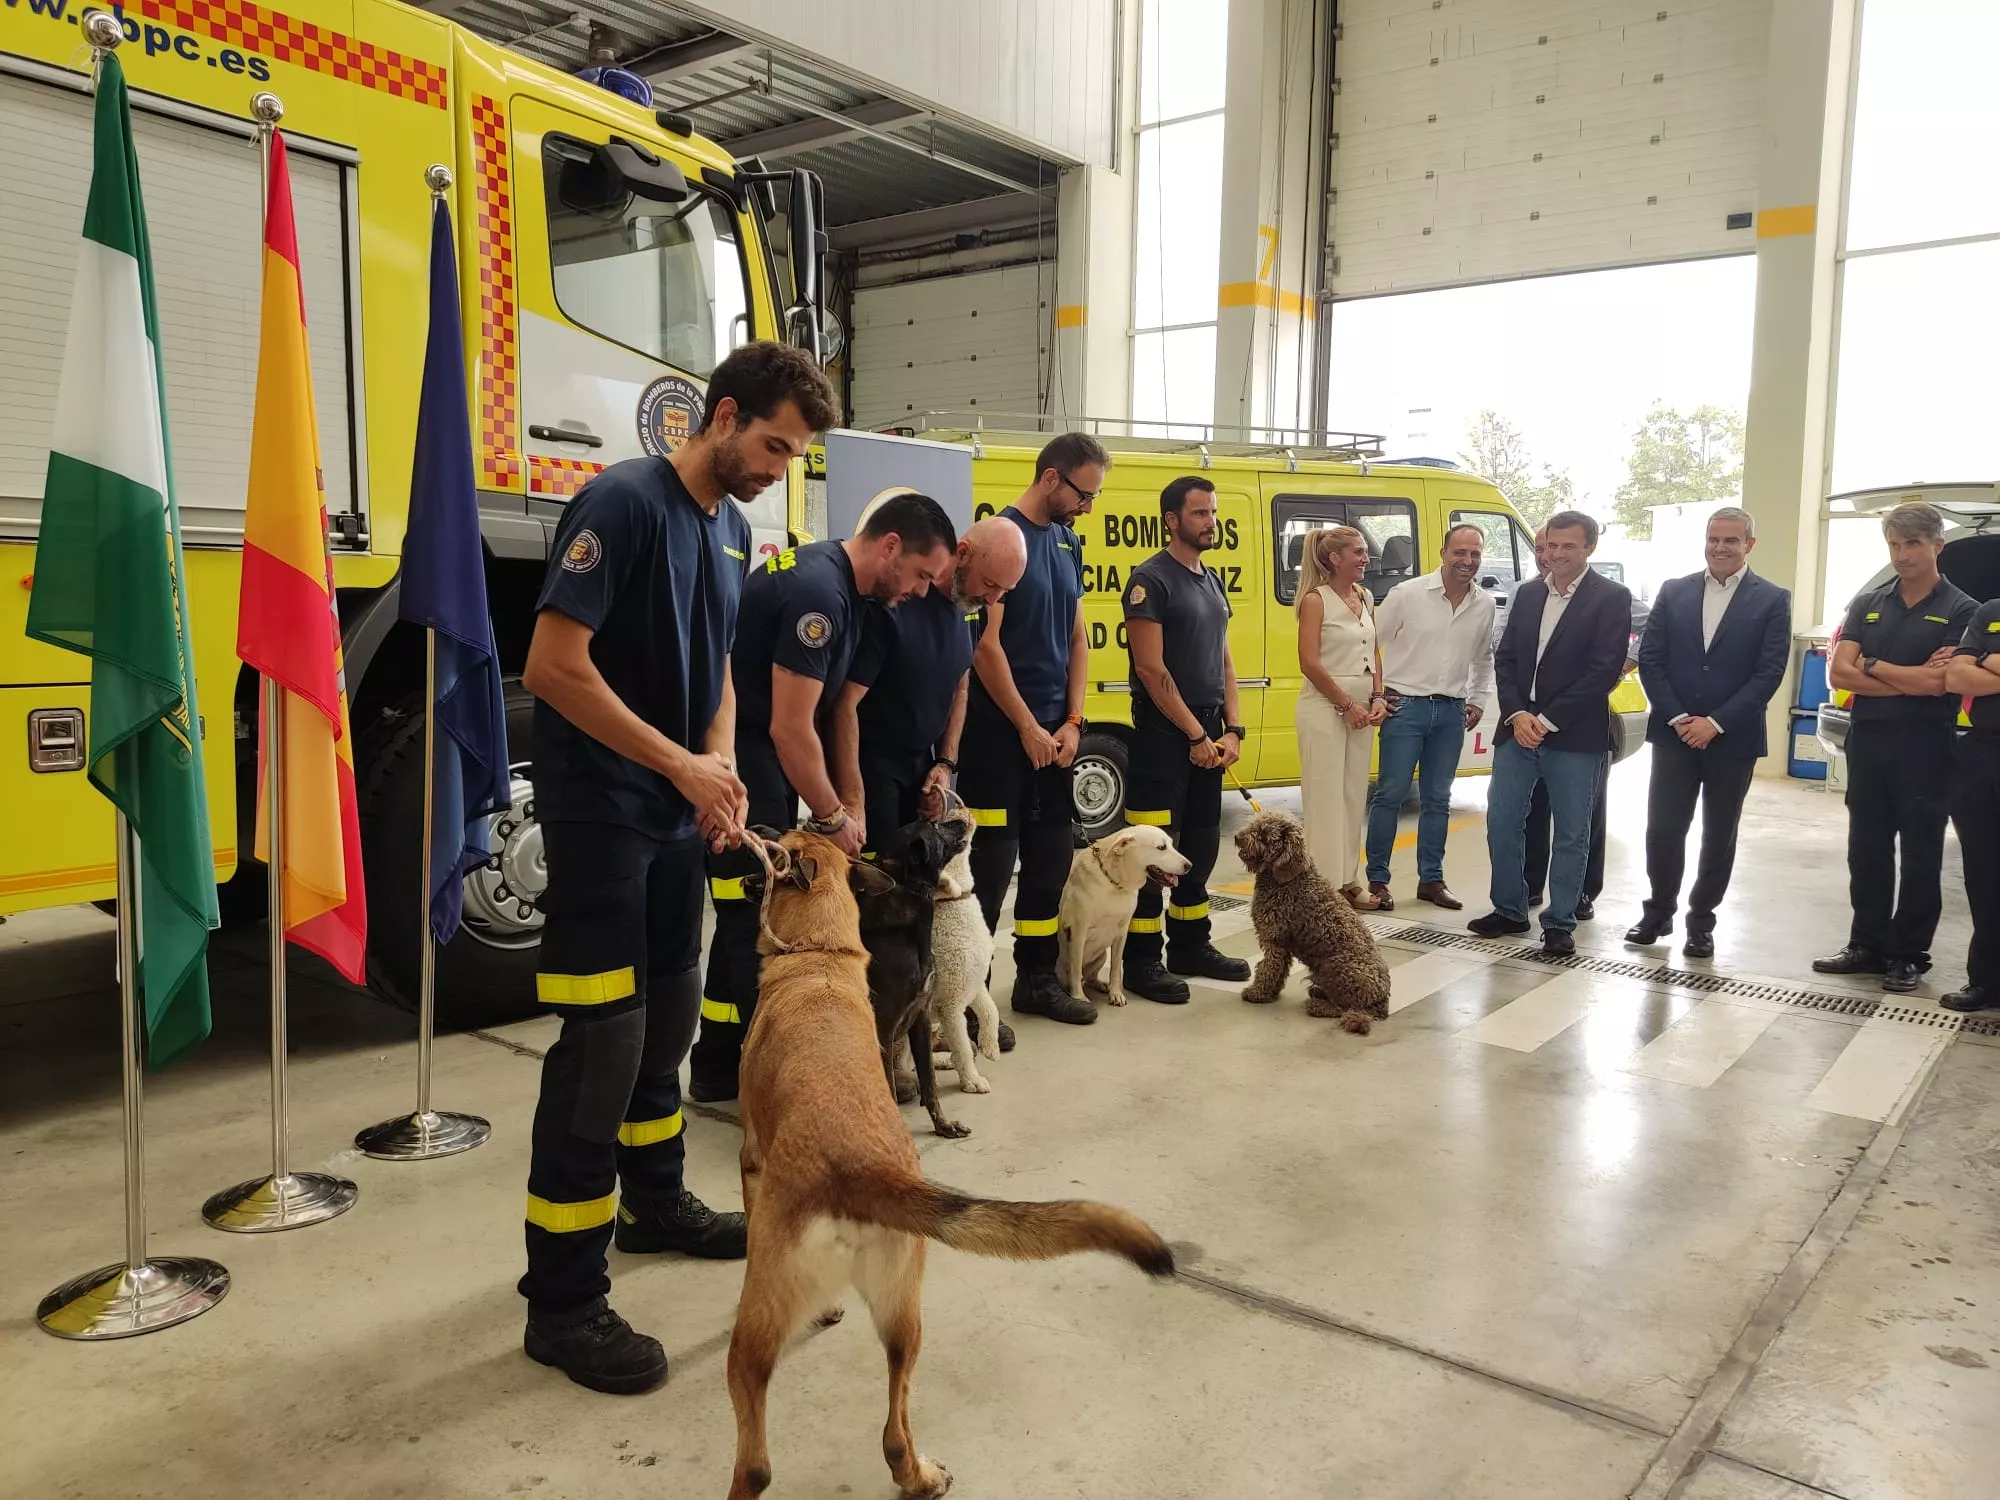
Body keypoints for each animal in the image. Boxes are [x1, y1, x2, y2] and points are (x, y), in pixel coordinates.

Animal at [928, 812, 1008, 1096]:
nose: (957, 812)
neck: (954, 904)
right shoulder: (949, 1006)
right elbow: (961, 1046)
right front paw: (972, 1081)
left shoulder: (975, 983)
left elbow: (991, 1010)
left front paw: (990, 1046)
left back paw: (942, 1060)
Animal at [1056, 836, 1192, 1012]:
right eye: (1161, 847)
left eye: (1171, 844)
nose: (1189, 866)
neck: (1113, 883)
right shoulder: (1078, 934)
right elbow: (1075, 968)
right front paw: (1079, 997)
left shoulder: (1121, 933)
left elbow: (1115, 969)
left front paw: (1115, 994)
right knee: (1076, 975)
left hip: (1100, 956)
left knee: (1089, 977)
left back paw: (1102, 985)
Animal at [1232, 812, 1392, 1032]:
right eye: (1254, 824)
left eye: (1264, 833)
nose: (1237, 837)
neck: (1289, 879)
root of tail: (1382, 1001)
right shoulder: (1282, 944)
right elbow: (1279, 970)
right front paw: (1271, 992)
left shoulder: (1274, 940)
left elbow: (1268, 967)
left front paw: (1257, 993)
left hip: (1333, 968)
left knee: (1344, 1008)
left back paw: (1317, 1005)